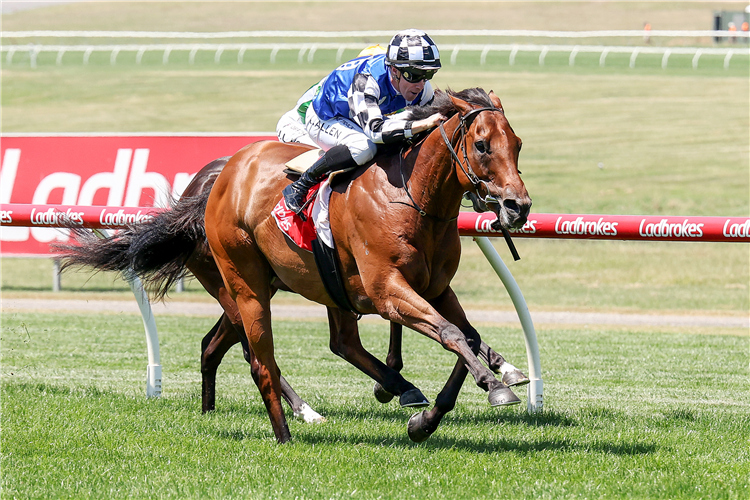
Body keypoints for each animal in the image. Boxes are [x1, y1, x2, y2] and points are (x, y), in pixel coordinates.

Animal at [203, 87, 530, 443]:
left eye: (517, 143)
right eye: (482, 145)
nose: (519, 206)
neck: (412, 197)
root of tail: (229, 168)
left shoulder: (437, 290)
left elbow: (469, 336)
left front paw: (424, 422)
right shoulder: (387, 290)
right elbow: (450, 332)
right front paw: (492, 383)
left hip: (320, 286)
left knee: (338, 343)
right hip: (245, 284)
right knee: (261, 362)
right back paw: (288, 432)